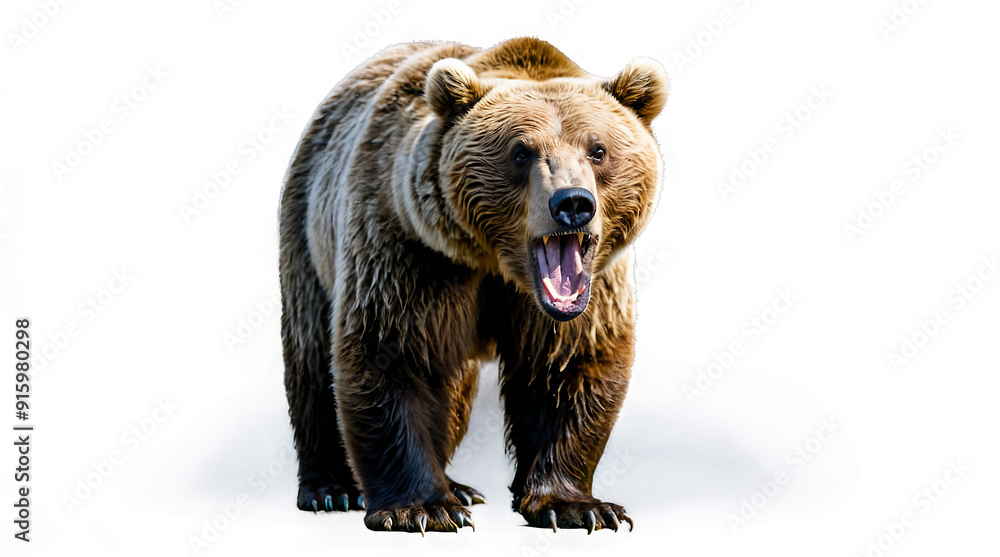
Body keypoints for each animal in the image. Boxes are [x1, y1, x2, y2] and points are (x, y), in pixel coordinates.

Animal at [278, 37, 667, 534]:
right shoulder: (412, 251)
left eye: (597, 150)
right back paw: (332, 488)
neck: (497, 263)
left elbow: (568, 366)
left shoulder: (591, 287)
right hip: (308, 228)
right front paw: (421, 508)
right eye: (521, 151)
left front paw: (575, 505)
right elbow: (392, 353)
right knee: (311, 358)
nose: (573, 204)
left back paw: (458, 485)